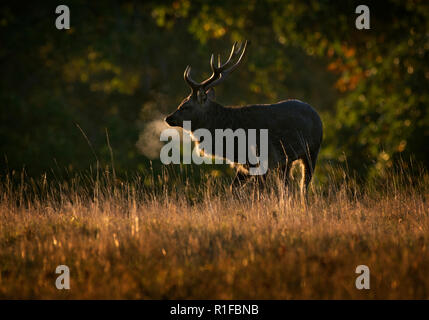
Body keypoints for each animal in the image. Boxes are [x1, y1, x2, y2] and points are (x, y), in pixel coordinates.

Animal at [164, 42, 320, 192]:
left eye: (185, 106)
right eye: (180, 103)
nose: (168, 118)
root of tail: (315, 113)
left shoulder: (264, 158)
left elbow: (260, 190)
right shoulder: (244, 165)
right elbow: (233, 188)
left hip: (311, 151)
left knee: (303, 185)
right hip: (287, 162)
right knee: (287, 186)